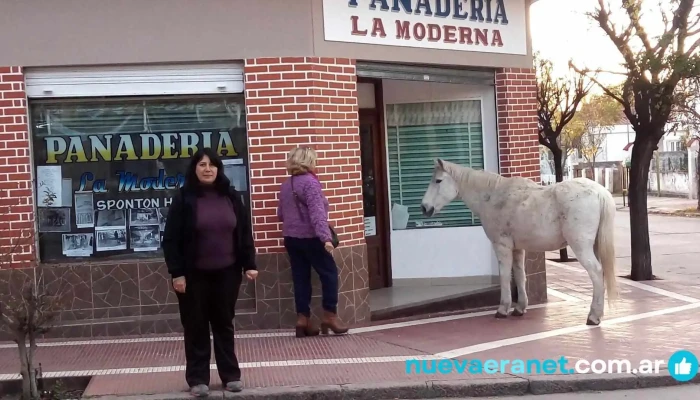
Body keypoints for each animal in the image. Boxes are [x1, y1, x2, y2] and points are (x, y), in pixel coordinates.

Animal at [418, 159, 620, 324]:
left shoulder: (501, 246)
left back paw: (593, 316)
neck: (493, 196)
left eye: (438, 180)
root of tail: (599, 192)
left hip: (581, 247)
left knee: (596, 272)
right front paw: (520, 307)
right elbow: (520, 275)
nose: (424, 208)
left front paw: (502, 309)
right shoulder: (517, 249)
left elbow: (505, 276)